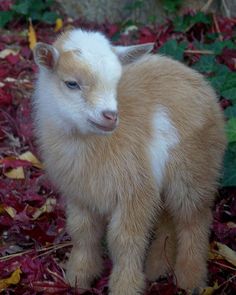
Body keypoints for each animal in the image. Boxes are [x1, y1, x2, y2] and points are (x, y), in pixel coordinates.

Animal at [32, 28, 226, 295]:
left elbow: (125, 242)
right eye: (71, 83)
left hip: (194, 169)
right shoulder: (80, 195)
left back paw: (190, 278)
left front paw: (125, 286)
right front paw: (78, 277)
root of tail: (193, 75)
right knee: (167, 218)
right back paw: (158, 267)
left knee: (193, 219)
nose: (110, 116)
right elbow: (83, 233)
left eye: (116, 83)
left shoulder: (135, 191)